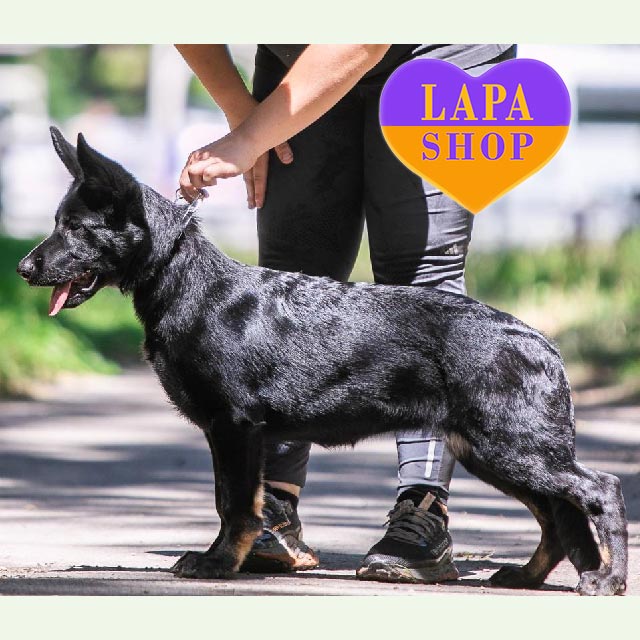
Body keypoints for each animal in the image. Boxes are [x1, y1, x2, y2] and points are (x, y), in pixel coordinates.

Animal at [17, 128, 627, 595]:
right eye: (57, 223)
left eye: (75, 229)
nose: (23, 268)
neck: (190, 286)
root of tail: (542, 342)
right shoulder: (230, 433)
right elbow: (234, 501)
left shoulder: (235, 427)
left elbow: (234, 505)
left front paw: (218, 563)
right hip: (490, 451)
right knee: (558, 516)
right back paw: (527, 576)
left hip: (511, 449)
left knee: (600, 490)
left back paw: (607, 580)